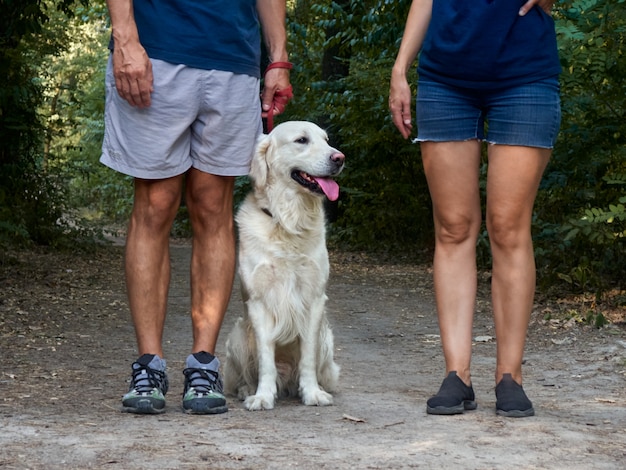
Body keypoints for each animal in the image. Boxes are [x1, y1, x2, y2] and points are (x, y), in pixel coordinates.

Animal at [223, 122, 344, 412]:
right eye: (301, 140)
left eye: (326, 140)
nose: (340, 158)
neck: (289, 221)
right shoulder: (259, 302)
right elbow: (266, 359)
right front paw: (263, 396)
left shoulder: (314, 299)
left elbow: (308, 356)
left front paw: (312, 393)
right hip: (237, 335)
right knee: (244, 376)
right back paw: (247, 389)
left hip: (327, 338)